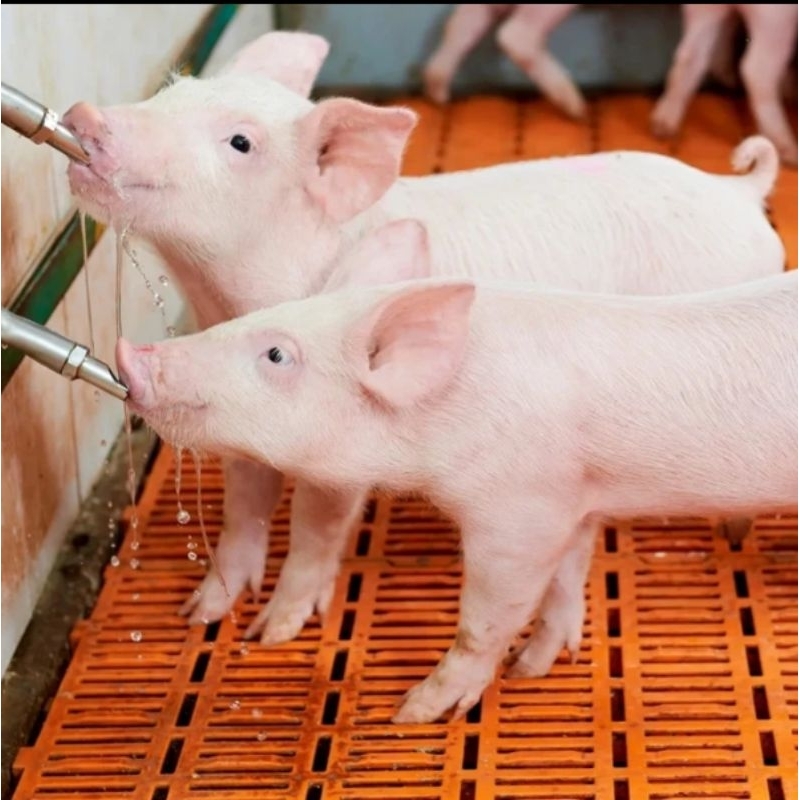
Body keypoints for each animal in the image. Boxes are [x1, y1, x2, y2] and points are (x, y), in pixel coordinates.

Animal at [61, 30, 786, 656]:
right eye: (173, 90)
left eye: (240, 141)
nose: (86, 115)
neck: (227, 291)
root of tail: (739, 190)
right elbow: (245, 501)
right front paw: (202, 613)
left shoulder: (343, 434)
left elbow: (317, 523)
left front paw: (273, 633)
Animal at [115, 221, 798, 724]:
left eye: (277, 353)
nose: (132, 352)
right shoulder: (574, 494)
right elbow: (566, 580)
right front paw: (535, 666)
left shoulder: (519, 510)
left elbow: (486, 617)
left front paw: (412, 712)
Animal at [652, 4, 799, 166]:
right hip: (776, 18)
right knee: (754, 70)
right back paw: (789, 152)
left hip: (702, 11)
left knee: (689, 56)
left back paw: (663, 128)